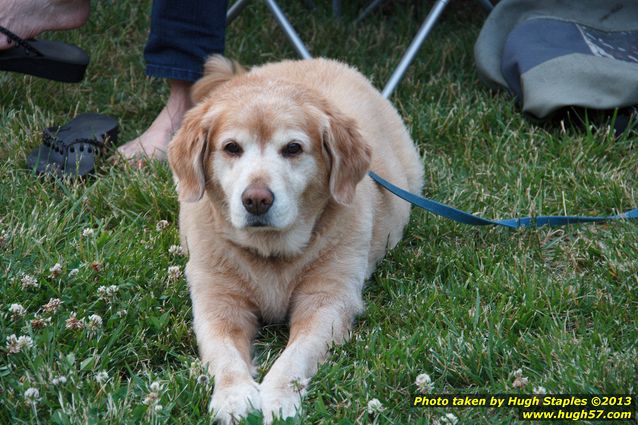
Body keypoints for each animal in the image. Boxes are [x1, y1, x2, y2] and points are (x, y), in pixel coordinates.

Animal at [168, 54, 424, 422]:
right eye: (231, 148)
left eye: (293, 148)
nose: (256, 199)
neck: (270, 251)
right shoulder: (218, 303)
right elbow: (224, 356)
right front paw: (233, 396)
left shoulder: (327, 302)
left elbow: (293, 357)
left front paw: (279, 397)